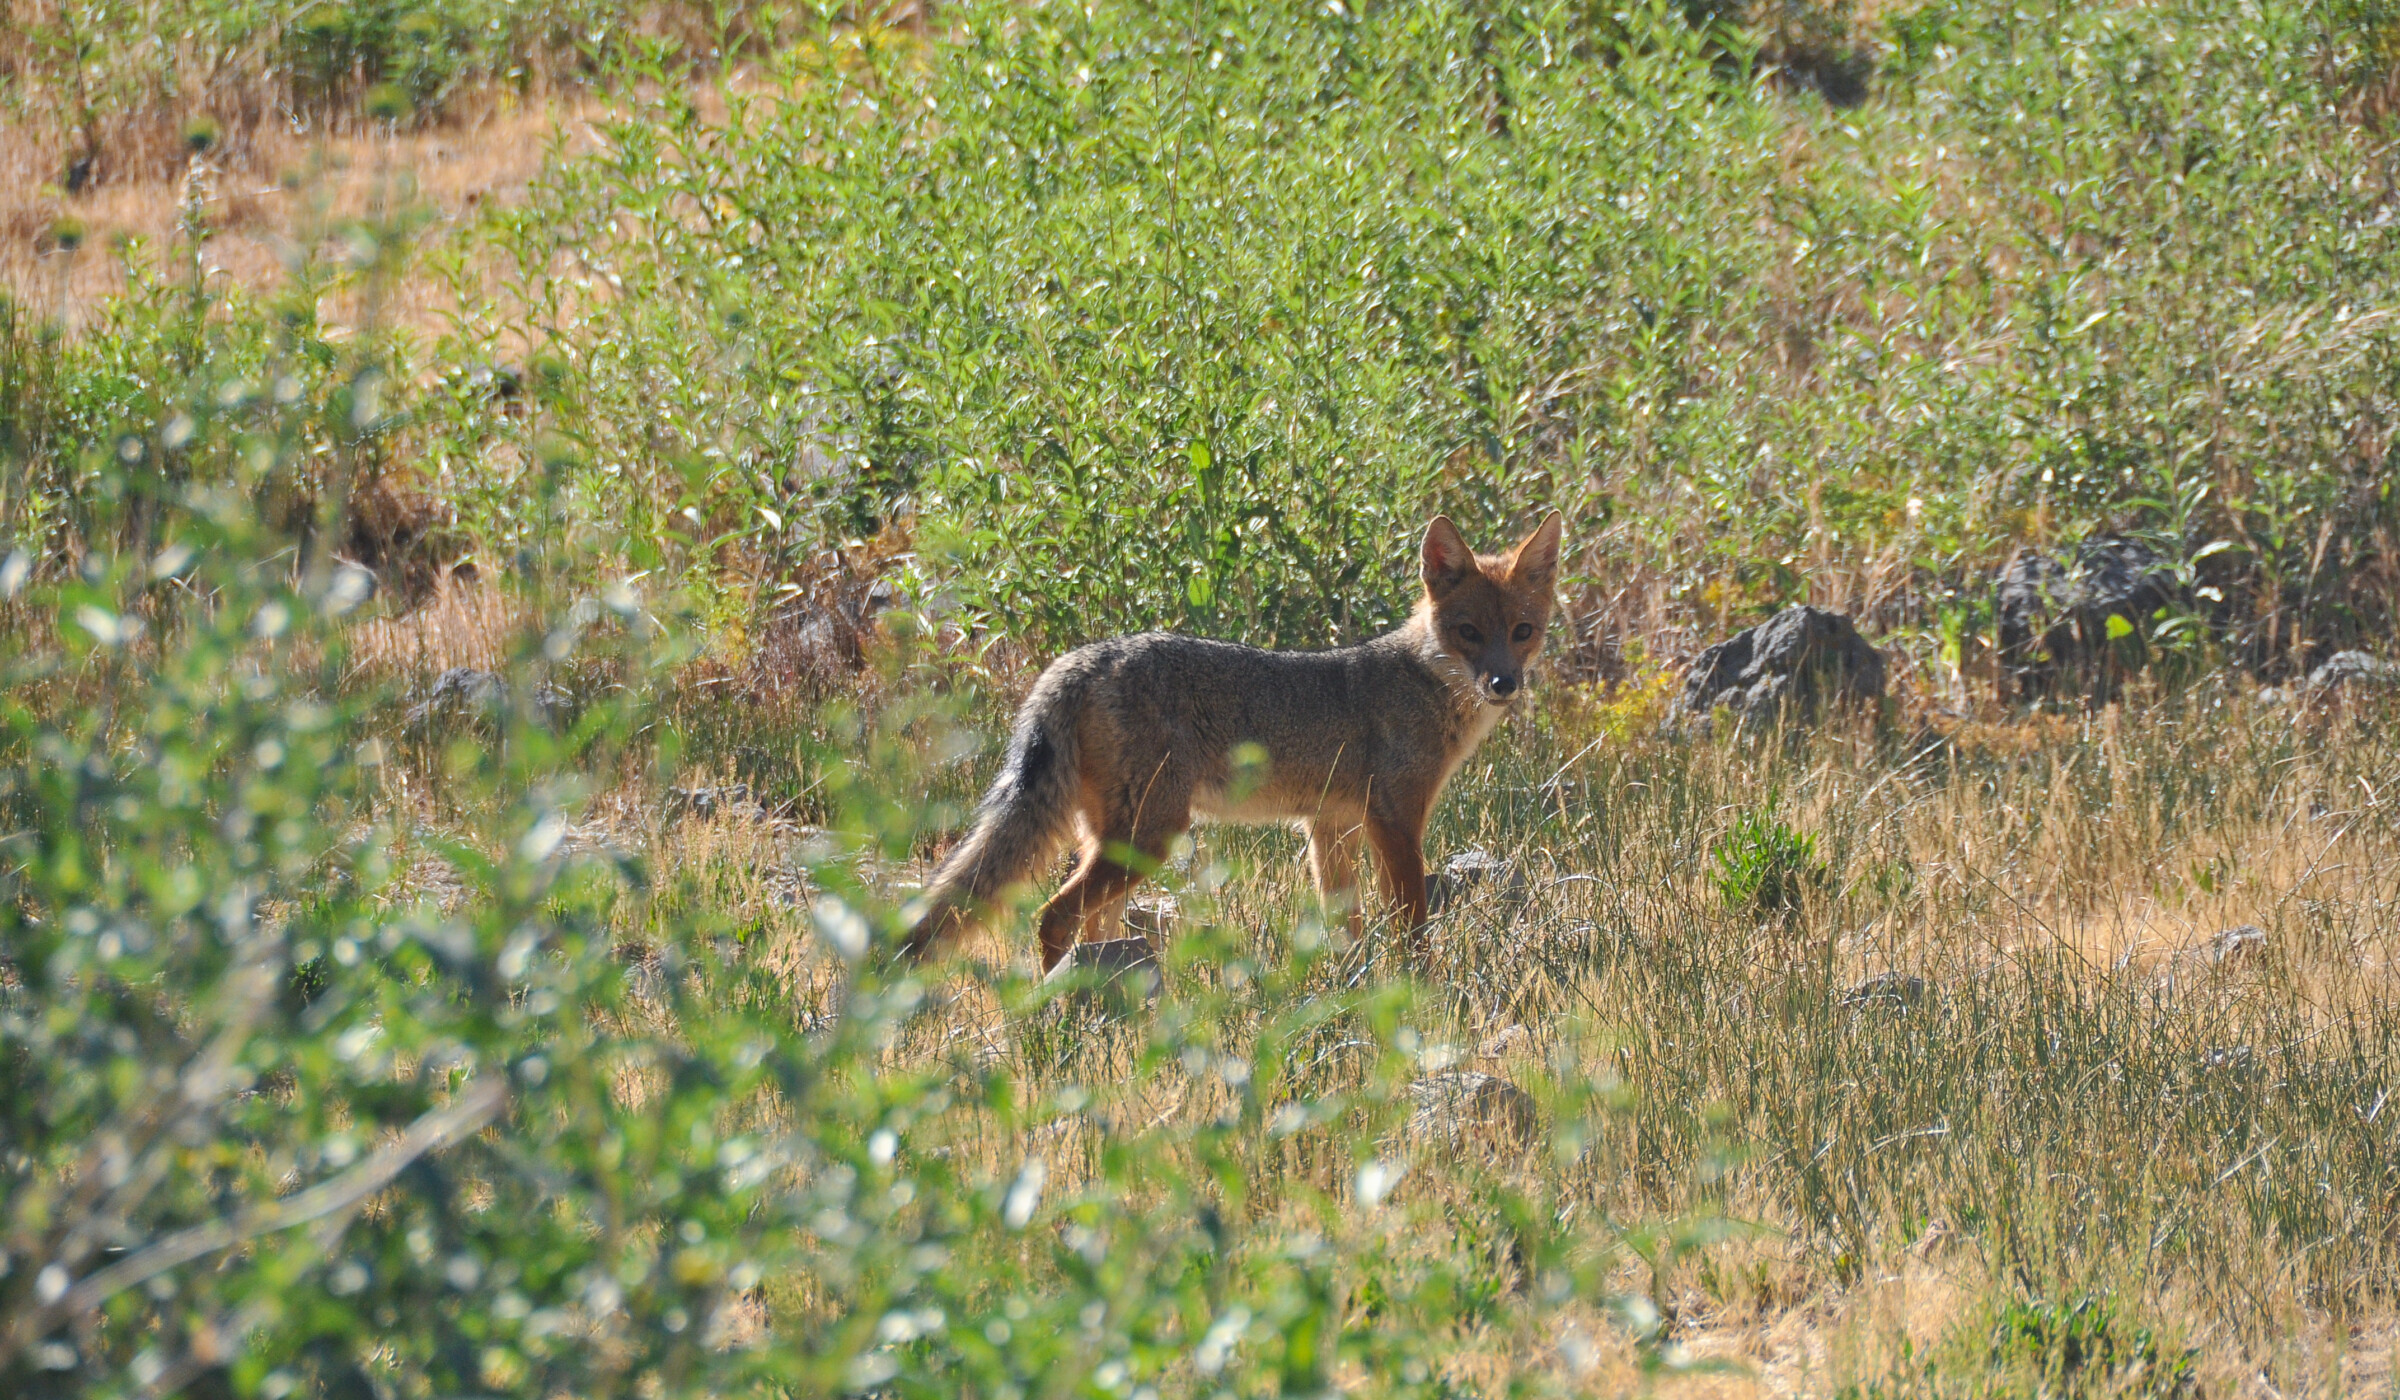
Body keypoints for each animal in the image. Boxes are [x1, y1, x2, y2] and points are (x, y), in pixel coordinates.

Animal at [897, 513, 1555, 974]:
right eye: (1469, 633)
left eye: (1522, 631)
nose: (1503, 684)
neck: (1421, 683)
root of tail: (1078, 660)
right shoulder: (1393, 824)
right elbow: (1411, 926)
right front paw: (1421, 988)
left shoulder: (1329, 826)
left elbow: (1345, 926)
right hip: (1152, 837)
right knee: (1051, 916)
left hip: (1115, 843)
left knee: (1090, 924)